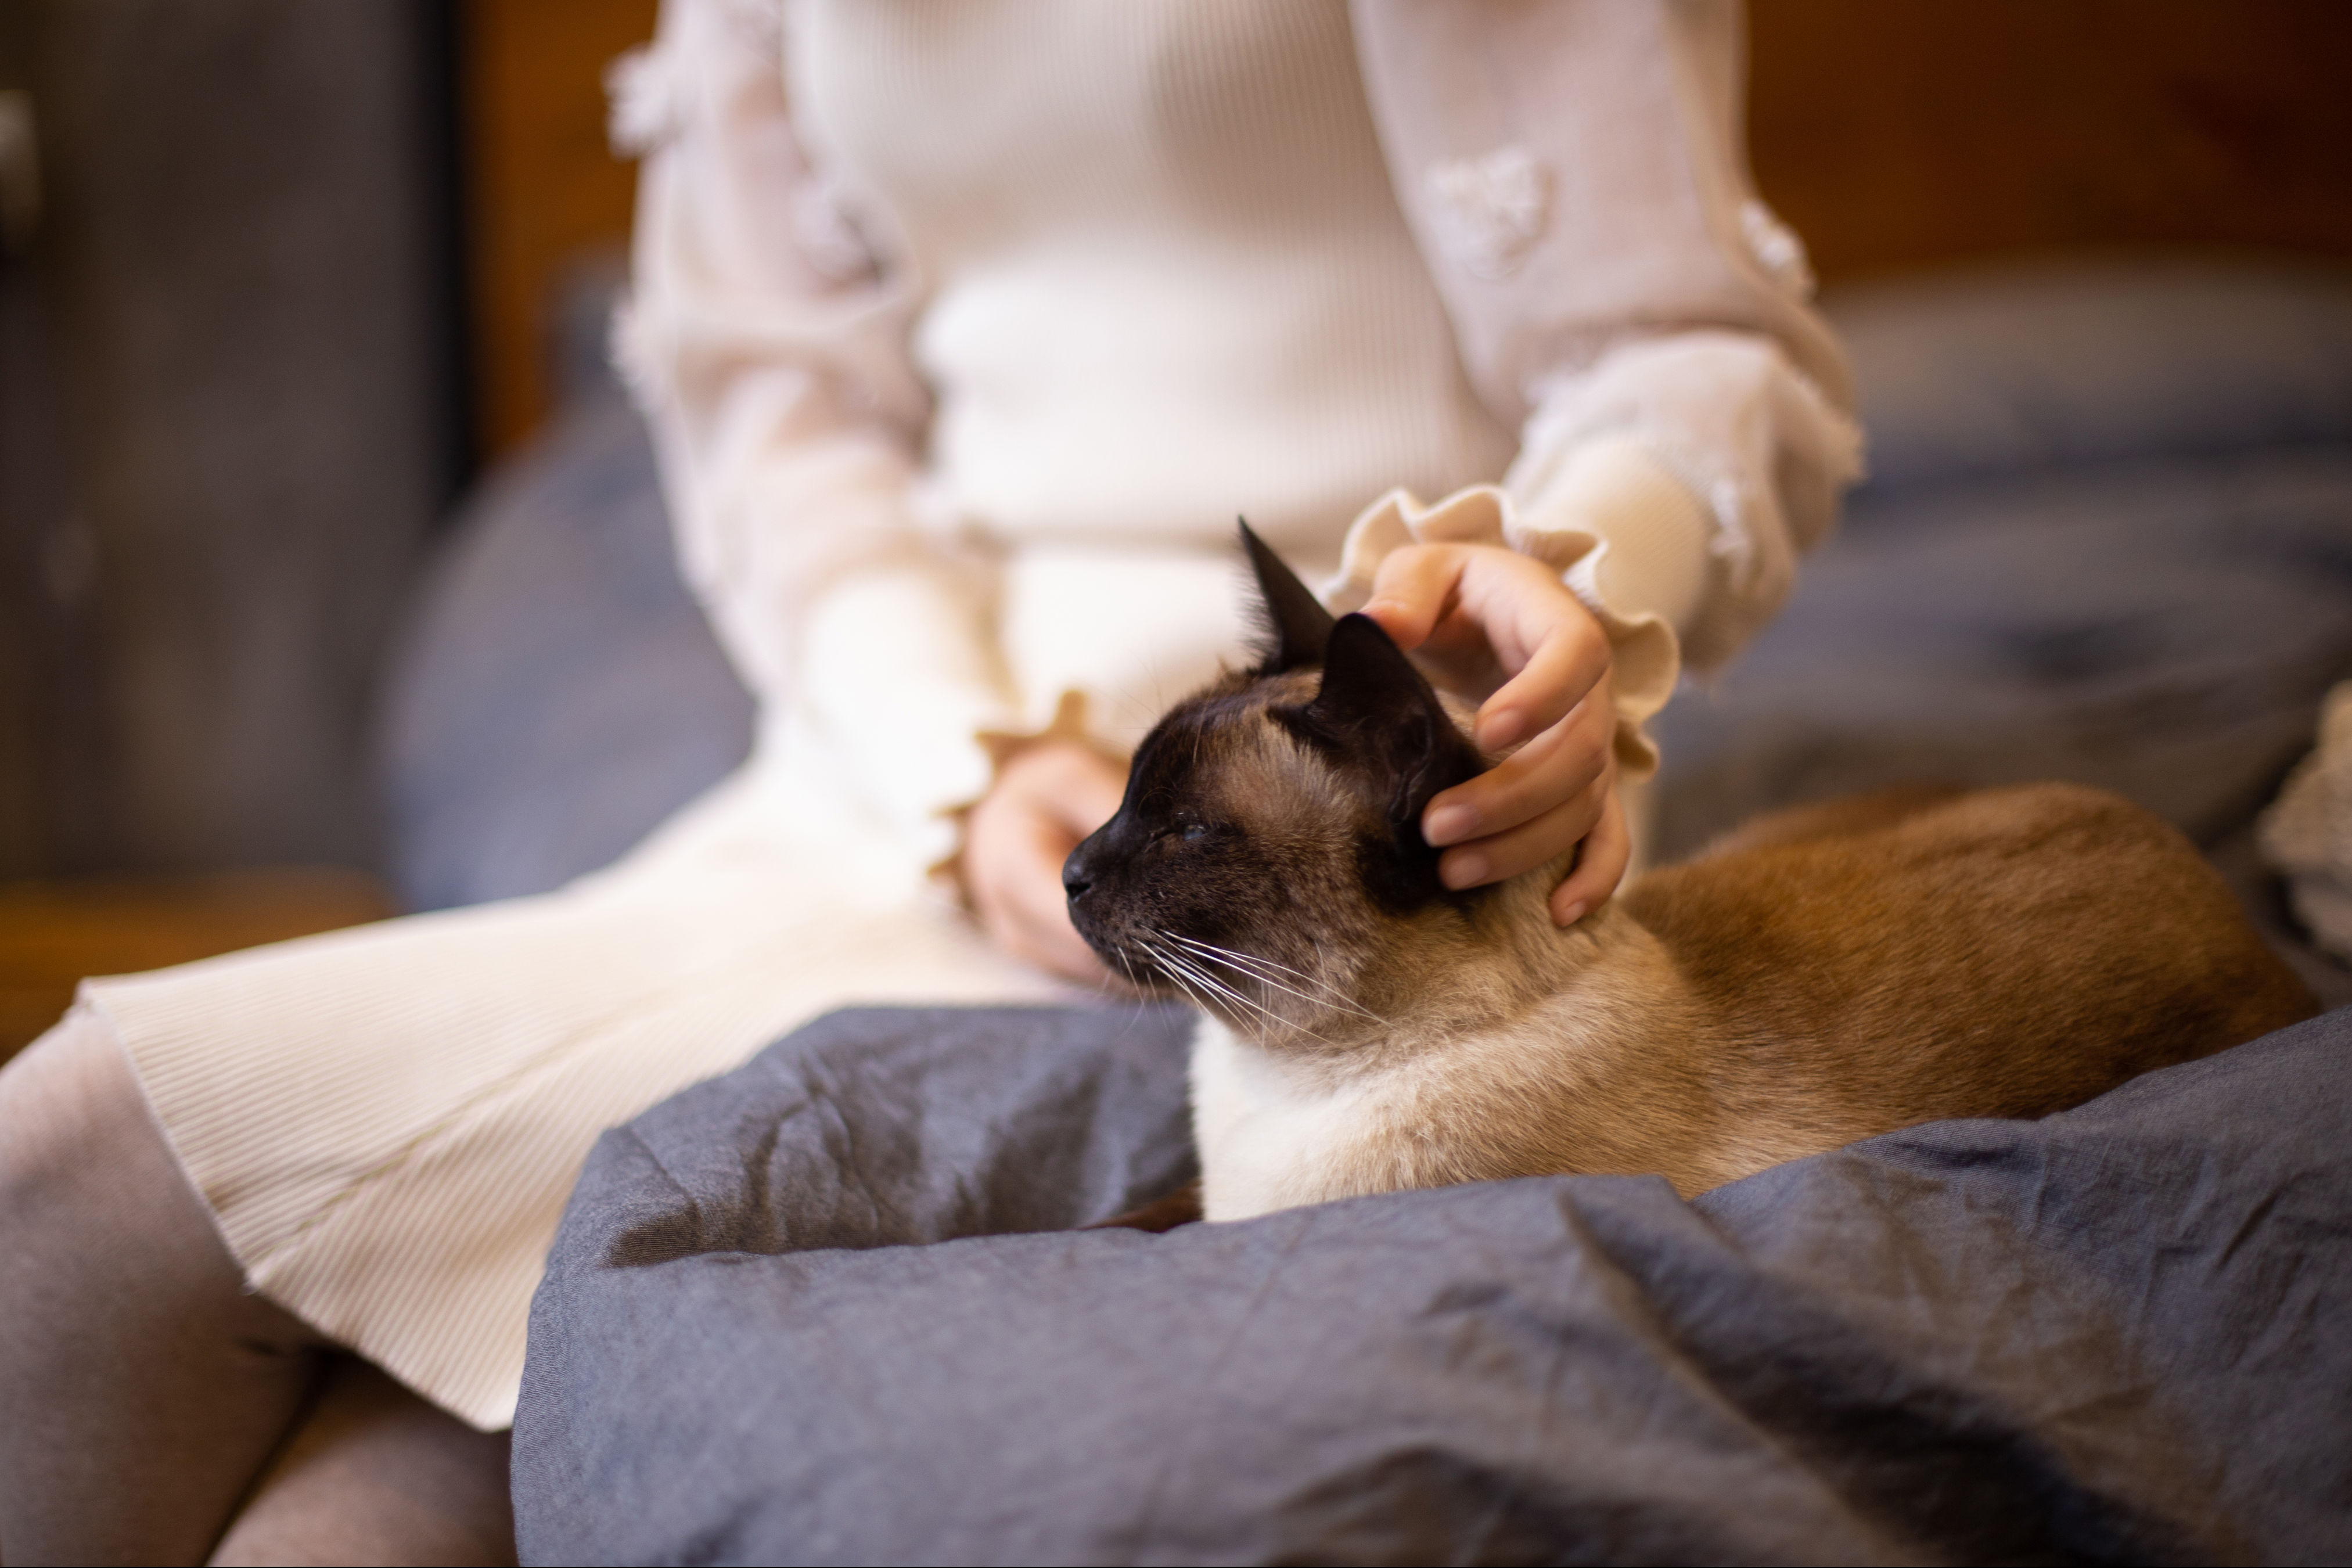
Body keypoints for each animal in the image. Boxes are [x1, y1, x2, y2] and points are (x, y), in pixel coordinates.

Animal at [1067, 522, 2314, 1222]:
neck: (1274, 1086)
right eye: (1125, 796)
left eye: (1184, 834)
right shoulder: (1196, 1201)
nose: (1074, 870)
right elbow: (1104, 1224)